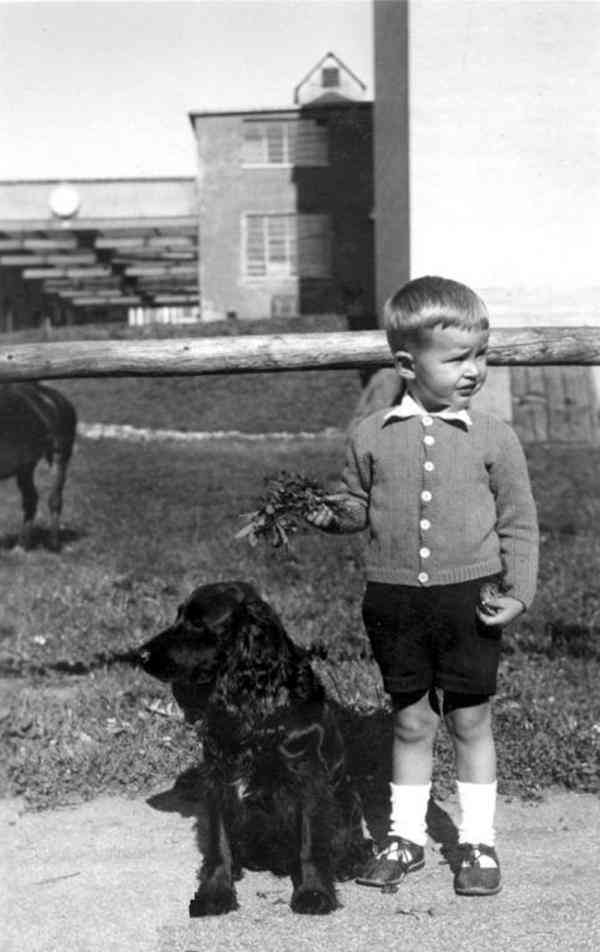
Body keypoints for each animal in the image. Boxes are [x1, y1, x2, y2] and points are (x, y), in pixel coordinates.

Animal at [0, 382, 77, 552]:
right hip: (26, 465)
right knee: (31, 500)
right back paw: (22, 545)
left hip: (60, 454)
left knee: (55, 499)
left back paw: (53, 543)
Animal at [131, 580, 376, 916]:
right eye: (178, 616)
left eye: (198, 622)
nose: (139, 655)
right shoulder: (218, 774)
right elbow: (219, 842)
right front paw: (215, 890)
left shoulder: (307, 775)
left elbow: (310, 841)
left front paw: (313, 891)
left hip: (346, 793)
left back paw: (350, 860)